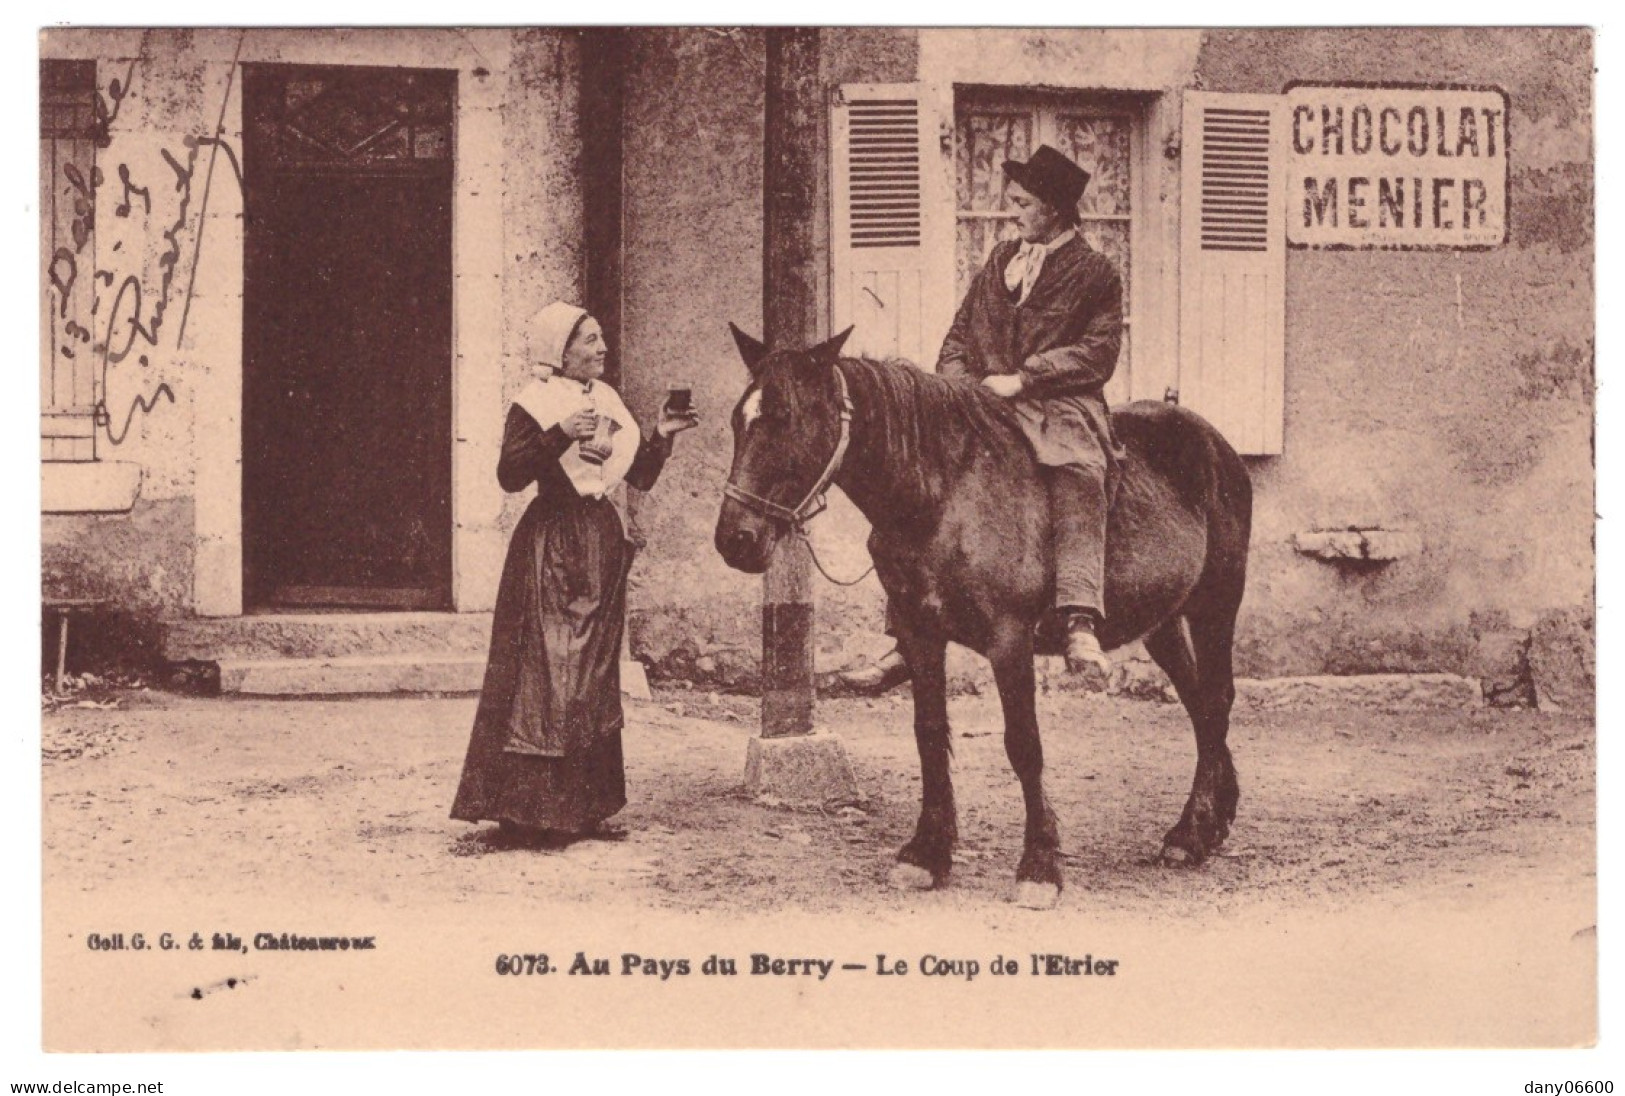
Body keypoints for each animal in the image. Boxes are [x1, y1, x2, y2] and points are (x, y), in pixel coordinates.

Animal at [715, 325, 1254, 904]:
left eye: (787, 416)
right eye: (737, 419)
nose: (734, 539)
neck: (944, 494)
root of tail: (1216, 445)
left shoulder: (1009, 640)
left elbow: (1024, 745)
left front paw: (1039, 865)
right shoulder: (920, 634)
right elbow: (929, 735)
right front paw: (926, 854)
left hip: (1216, 603)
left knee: (1216, 700)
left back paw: (1191, 833)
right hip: (1163, 622)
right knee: (1199, 705)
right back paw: (1211, 821)